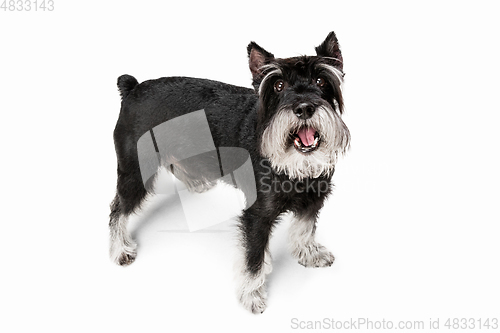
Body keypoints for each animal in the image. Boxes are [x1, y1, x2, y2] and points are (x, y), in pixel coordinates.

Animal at [109, 30, 352, 312]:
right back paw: (119, 249)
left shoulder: (314, 198)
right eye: (278, 85)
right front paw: (252, 294)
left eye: (321, 80)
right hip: (136, 172)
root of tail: (132, 88)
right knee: (118, 209)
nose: (303, 108)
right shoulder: (257, 215)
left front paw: (309, 253)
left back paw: (196, 181)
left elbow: (305, 227)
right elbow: (254, 258)